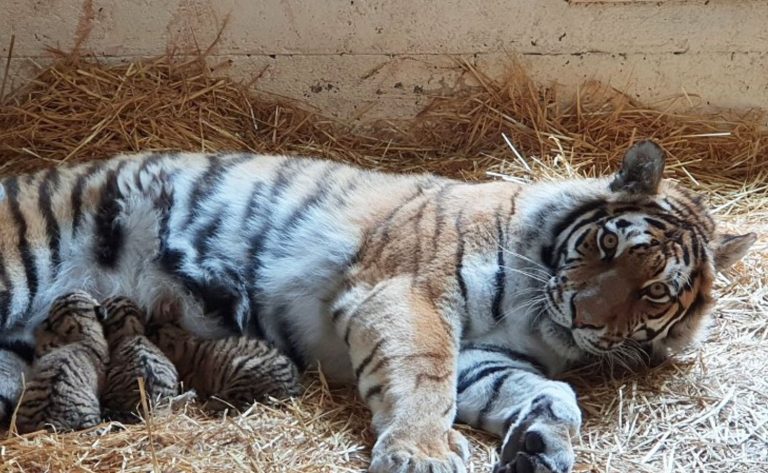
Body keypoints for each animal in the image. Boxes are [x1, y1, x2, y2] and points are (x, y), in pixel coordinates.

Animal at [0, 138, 756, 470]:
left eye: (653, 290)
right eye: (605, 243)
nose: (587, 320)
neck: (538, 313)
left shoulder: (488, 353)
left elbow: (543, 391)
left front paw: (541, 440)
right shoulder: (408, 291)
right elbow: (423, 377)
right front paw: (421, 452)